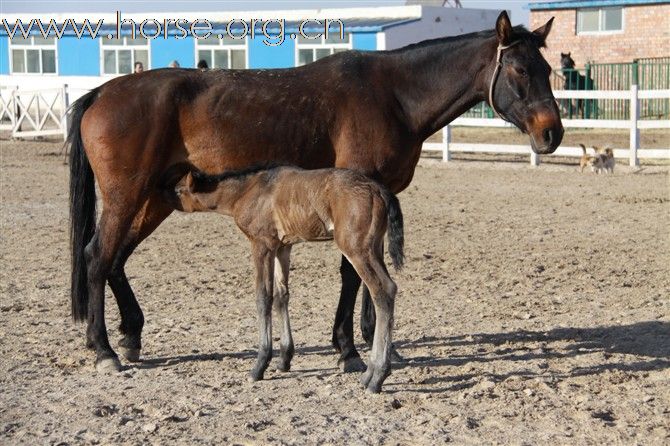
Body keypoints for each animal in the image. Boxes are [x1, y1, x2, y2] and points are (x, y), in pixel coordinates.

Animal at [165, 165, 406, 394]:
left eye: (178, 190)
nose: (164, 199)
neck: (250, 190)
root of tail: (380, 190)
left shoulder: (262, 245)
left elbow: (263, 298)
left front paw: (260, 365)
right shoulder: (282, 247)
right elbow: (282, 295)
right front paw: (284, 359)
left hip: (356, 249)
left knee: (383, 291)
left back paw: (377, 377)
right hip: (374, 248)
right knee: (386, 290)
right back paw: (369, 375)